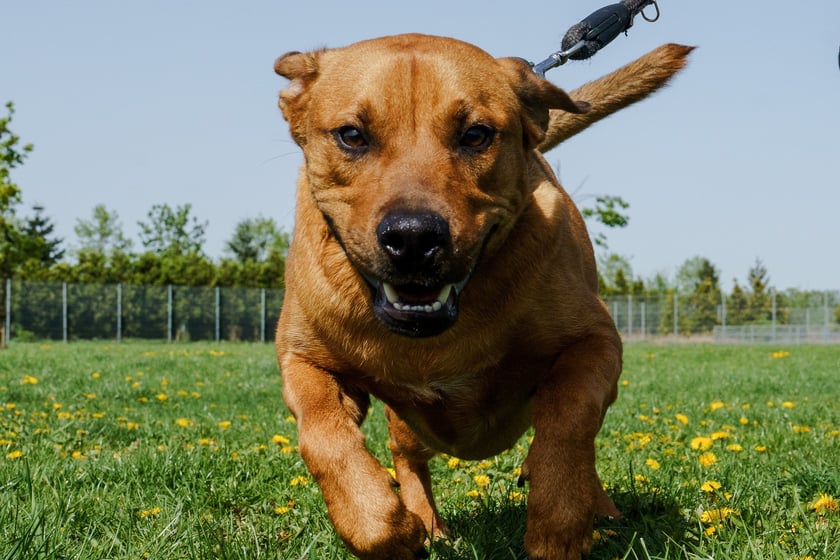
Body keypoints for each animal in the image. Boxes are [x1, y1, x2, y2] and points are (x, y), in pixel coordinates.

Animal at [274, 36, 688, 560]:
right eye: (351, 135)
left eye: (476, 135)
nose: (413, 236)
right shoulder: (303, 359)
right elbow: (323, 435)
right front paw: (384, 526)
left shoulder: (595, 344)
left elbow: (569, 418)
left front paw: (558, 522)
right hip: (408, 427)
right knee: (407, 459)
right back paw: (428, 523)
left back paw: (598, 507)